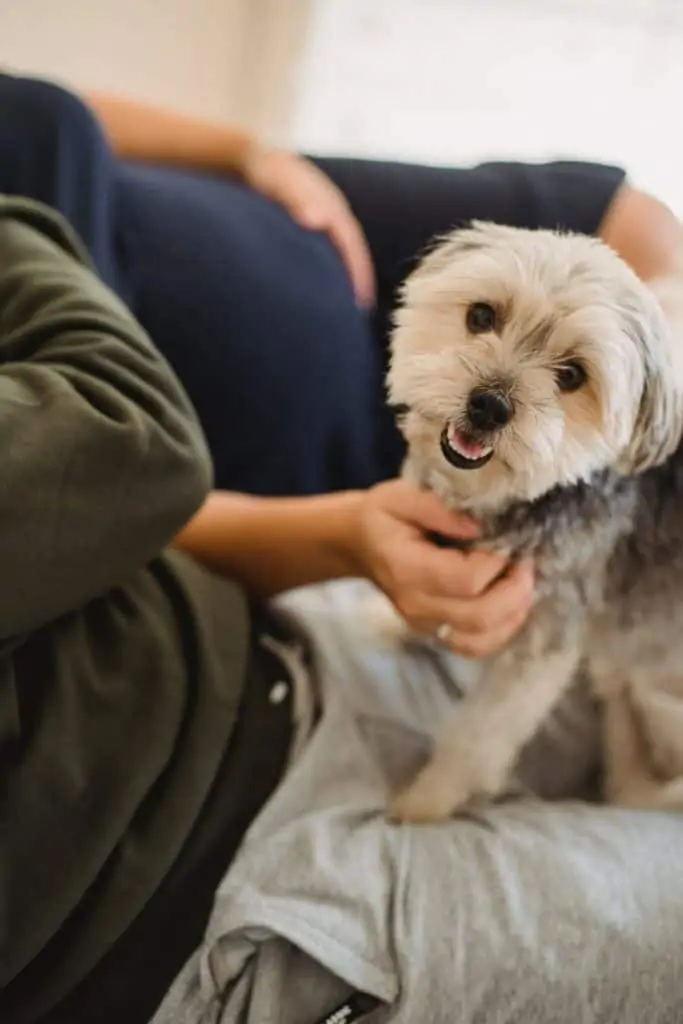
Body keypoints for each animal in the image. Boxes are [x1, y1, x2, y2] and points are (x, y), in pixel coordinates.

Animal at [385, 222, 683, 823]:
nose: (489, 406)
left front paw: (424, 802)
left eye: (571, 375)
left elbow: (477, 736)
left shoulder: (539, 640)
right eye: (481, 316)